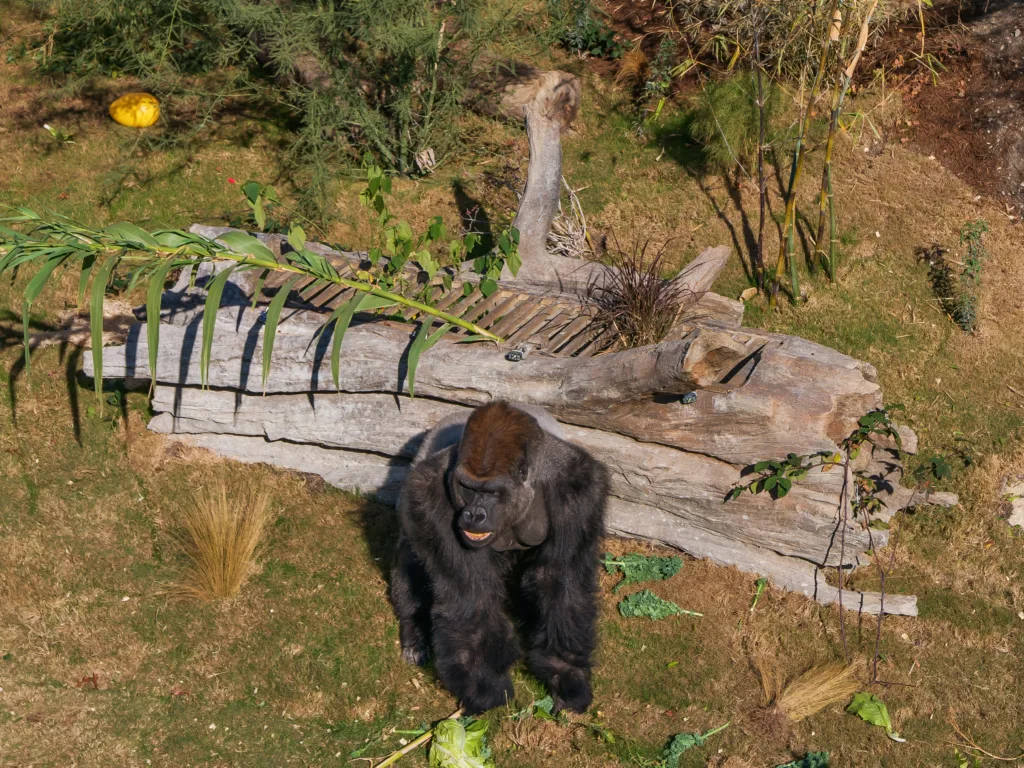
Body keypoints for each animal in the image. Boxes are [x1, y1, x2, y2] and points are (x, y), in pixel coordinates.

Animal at [390, 401, 609, 716]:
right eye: (468, 488)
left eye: (492, 492)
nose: (473, 515)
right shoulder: (426, 492)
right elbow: (470, 597)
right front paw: (484, 686)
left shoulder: (580, 487)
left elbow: (560, 580)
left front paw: (565, 671)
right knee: (410, 556)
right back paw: (413, 632)